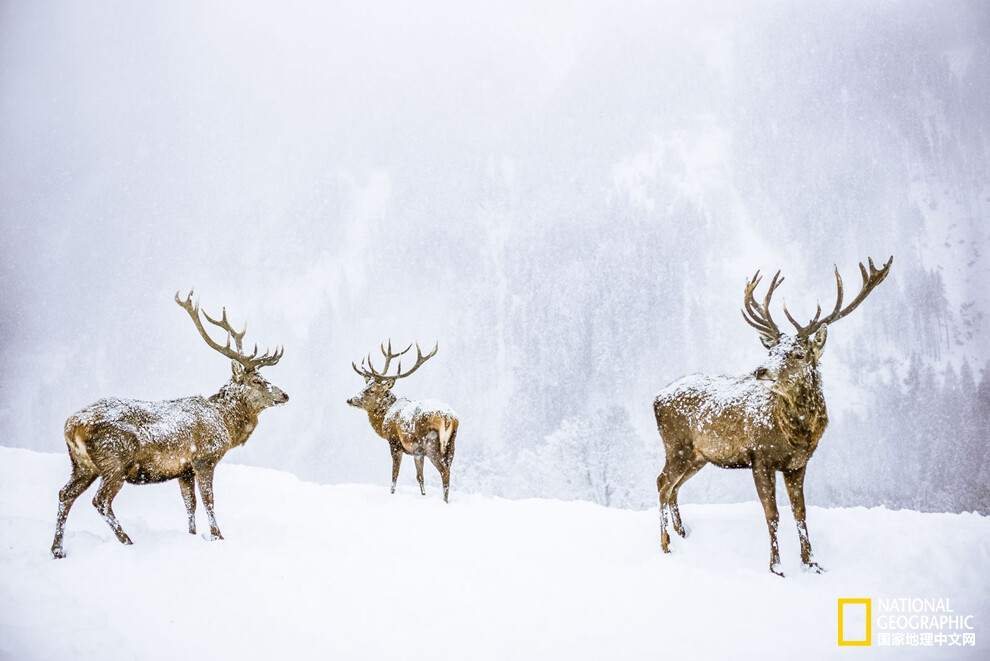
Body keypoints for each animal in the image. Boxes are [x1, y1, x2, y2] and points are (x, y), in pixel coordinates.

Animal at [50, 290, 288, 556]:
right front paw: (218, 536)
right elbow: (208, 500)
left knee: (65, 494)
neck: (225, 424)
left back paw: (57, 550)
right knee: (100, 501)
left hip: (82, 464)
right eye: (257, 381)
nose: (285, 395)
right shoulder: (205, 458)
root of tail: (72, 425)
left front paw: (192, 535)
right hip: (115, 460)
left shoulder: (183, 470)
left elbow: (189, 504)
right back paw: (127, 541)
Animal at [346, 342, 460, 502]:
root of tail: (450, 418)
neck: (384, 419)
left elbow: (395, 474)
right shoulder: (417, 452)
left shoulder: (394, 442)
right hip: (451, 444)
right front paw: (423, 495)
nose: (350, 399)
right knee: (449, 469)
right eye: (365, 386)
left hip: (431, 442)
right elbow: (420, 477)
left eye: (372, 390)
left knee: (444, 471)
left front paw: (392, 493)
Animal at [656, 255, 896, 576]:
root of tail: (656, 399)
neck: (797, 435)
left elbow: (800, 513)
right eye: (772, 352)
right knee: (662, 483)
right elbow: (772, 514)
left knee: (675, 487)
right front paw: (777, 567)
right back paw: (666, 544)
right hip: (677, 446)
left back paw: (682, 534)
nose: (761, 370)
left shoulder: (798, 464)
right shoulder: (761, 457)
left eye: (798, 354)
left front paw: (811, 562)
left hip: (698, 456)